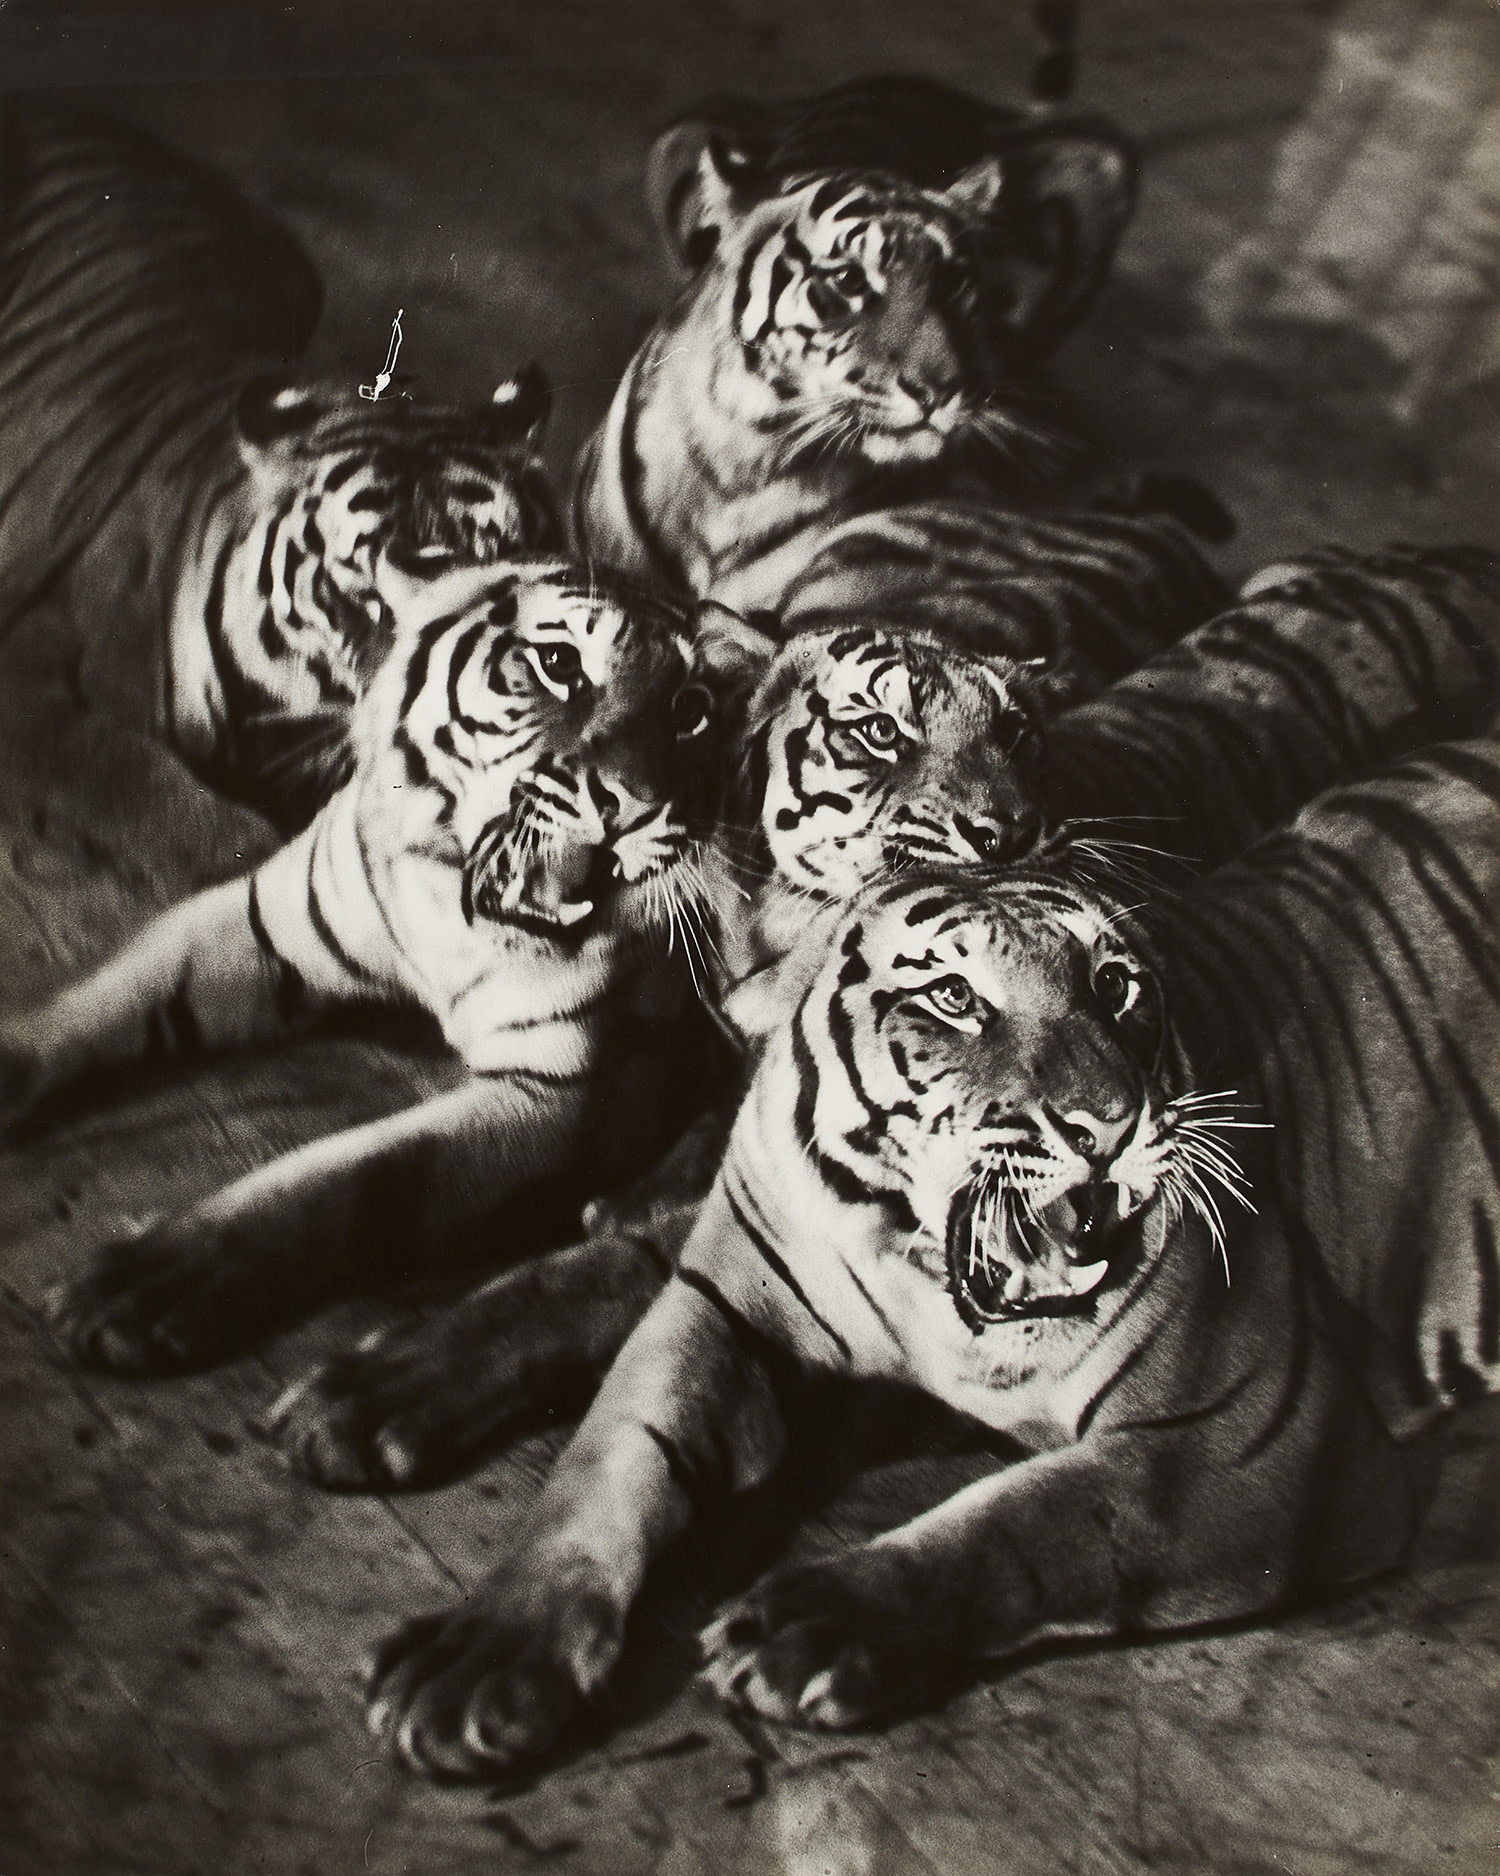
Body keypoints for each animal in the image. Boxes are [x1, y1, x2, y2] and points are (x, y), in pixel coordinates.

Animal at [0, 555, 727, 1375]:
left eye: (691, 709)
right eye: (558, 662)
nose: (636, 807)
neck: (448, 901)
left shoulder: (568, 1091)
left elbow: (356, 1171)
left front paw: (151, 1279)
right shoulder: (263, 922)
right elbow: (113, 991)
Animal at [266, 544, 1500, 1492]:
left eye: (1019, 737)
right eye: (876, 734)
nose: (1005, 832)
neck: (781, 938)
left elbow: (595, 1268)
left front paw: (377, 1391)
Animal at [361, 733, 1500, 1780]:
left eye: (1118, 987)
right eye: (955, 998)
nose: (1106, 1127)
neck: (914, 1260)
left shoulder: (1263, 1440)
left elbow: (1034, 1516)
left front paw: (819, 1621)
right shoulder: (722, 1305)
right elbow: (609, 1454)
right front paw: (491, 1642)